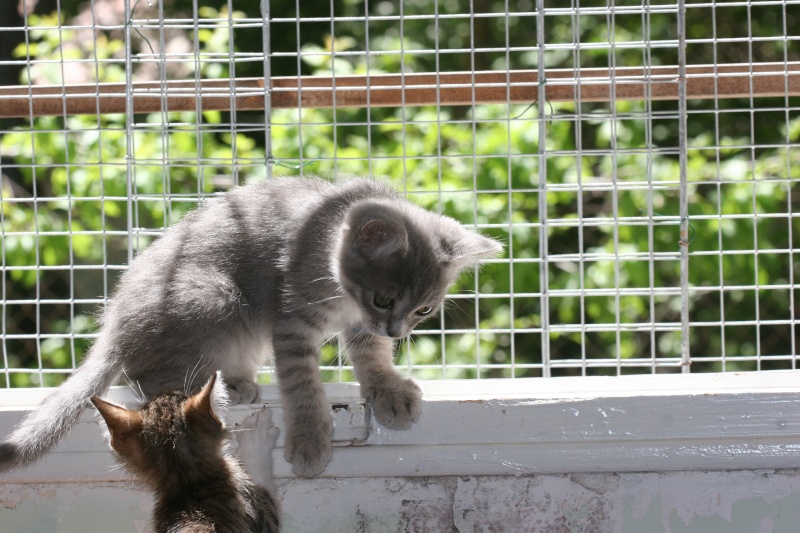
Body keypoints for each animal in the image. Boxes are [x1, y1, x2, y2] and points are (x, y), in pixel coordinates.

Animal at [0, 177, 500, 476]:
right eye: (384, 298)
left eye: (424, 311)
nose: (397, 332)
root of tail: (115, 321)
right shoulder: (292, 319)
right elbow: (301, 383)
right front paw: (309, 437)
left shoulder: (362, 327)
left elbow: (370, 356)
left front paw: (387, 389)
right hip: (213, 296)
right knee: (147, 377)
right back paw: (211, 392)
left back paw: (236, 383)